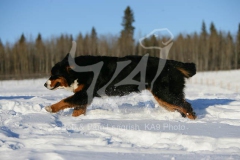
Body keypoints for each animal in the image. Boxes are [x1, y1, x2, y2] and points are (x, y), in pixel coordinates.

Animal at [44, 44, 196, 120]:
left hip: (164, 93)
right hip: (164, 96)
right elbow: (77, 110)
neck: (80, 71)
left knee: (186, 106)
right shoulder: (83, 96)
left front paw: (50, 108)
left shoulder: (84, 94)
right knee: (181, 107)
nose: (44, 84)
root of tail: (171, 64)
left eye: (53, 74)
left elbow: (65, 101)